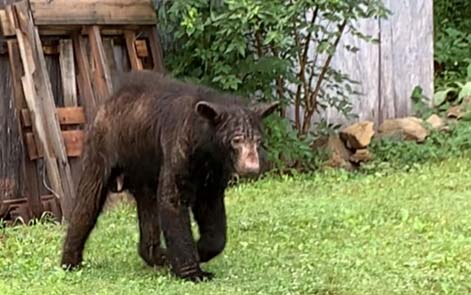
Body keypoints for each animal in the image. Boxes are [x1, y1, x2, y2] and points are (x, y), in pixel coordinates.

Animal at [60, 71, 278, 282]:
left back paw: (159, 256)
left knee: (148, 211)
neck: (207, 150)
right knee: (88, 201)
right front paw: (192, 272)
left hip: (144, 174)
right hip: (102, 149)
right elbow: (172, 201)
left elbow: (215, 227)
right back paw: (70, 262)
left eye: (258, 140)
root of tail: (109, 100)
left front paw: (198, 251)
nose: (252, 167)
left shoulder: (212, 179)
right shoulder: (179, 147)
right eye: (236, 140)